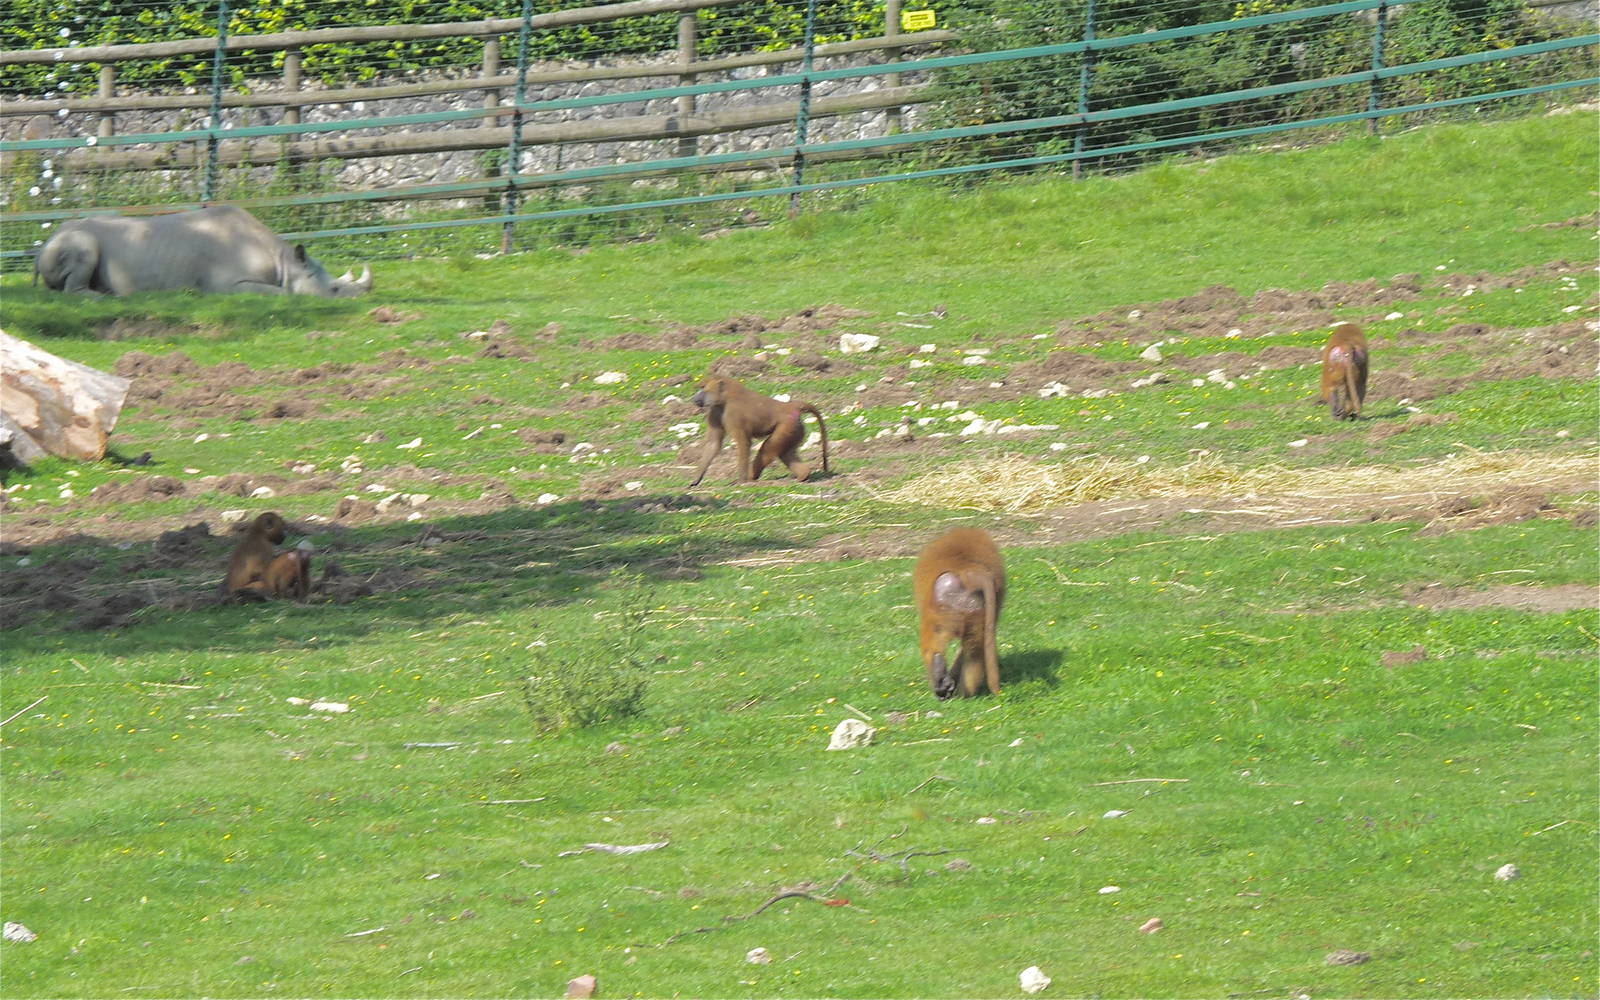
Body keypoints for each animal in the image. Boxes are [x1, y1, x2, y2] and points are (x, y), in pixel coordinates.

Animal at [34, 206, 372, 298]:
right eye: (335, 290)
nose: (360, 298)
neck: (285, 262)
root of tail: (44, 243)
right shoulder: (228, 285)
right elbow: (283, 293)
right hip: (73, 239)